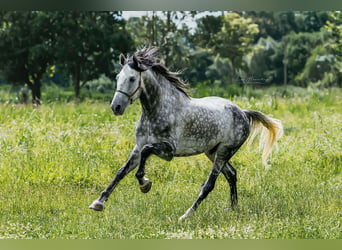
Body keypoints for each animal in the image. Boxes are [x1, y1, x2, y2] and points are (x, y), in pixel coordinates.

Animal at [89, 47, 284, 221]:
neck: (157, 110)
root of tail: (243, 112)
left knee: (209, 185)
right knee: (232, 174)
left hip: (224, 152)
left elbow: (145, 154)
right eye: (117, 77)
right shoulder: (138, 147)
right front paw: (98, 203)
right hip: (212, 152)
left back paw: (186, 215)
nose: (116, 107)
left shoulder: (167, 150)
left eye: (131, 78)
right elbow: (121, 172)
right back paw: (233, 210)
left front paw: (145, 184)